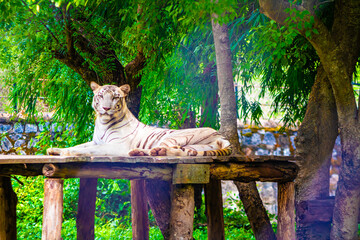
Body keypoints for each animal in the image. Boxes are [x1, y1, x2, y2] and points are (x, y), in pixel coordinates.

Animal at [46, 82, 232, 158]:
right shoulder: (96, 141)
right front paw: (55, 150)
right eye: (101, 96)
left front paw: (68, 153)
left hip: (174, 136)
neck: (103, 123)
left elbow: (88, 150)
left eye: (115, 97)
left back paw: (145, 152)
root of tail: (220, 135)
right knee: (180, 152)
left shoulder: (115, 145)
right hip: (195, 147)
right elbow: (80, 146)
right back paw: (143, 152)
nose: (105, 108)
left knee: (168, 149)